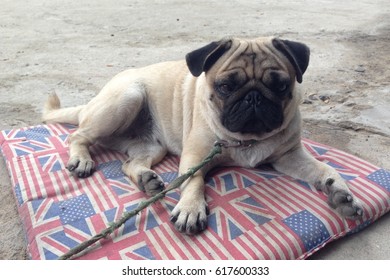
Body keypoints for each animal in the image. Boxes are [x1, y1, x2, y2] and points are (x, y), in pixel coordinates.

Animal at [42, 36, 362, 235]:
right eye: (225, 87)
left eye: (281, 86)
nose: (254, 98)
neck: (247, 138)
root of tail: (92, 102)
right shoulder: (195, 155)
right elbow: (194, 181)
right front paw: (190, 208)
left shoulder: (289, 156)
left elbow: (324, 169)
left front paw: (340, 192)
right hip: (126, 98)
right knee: (78, 136)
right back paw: (81, 160)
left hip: (152, 146)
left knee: (129, 163)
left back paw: (146, 179)